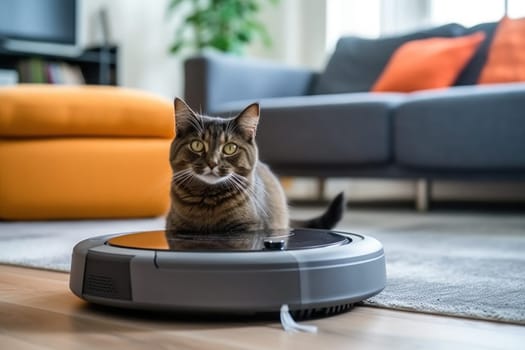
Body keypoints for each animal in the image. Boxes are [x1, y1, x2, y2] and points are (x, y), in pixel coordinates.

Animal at [165, 97, 344, 237]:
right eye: (196, 145)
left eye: (230, 148)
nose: (212, 163)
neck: (207, 201)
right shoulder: (174, 226)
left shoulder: (249, 227)